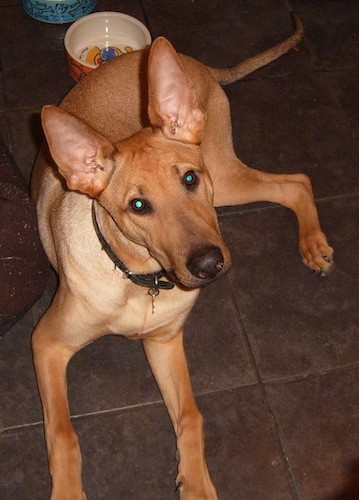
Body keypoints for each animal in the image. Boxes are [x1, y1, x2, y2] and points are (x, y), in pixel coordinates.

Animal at [31, 13, 334, 498]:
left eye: (189, 179)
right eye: (138, 206)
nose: (209, 265)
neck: (139, 282)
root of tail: (198, 64)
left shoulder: (165, 341)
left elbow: (191, 414)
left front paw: (196, 483)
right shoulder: (48, 342)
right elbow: (63, 432)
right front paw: (67, 492)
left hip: (221, 176)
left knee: (297, 182)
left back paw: (314, 244)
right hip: (225, 182)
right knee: (294, 183)